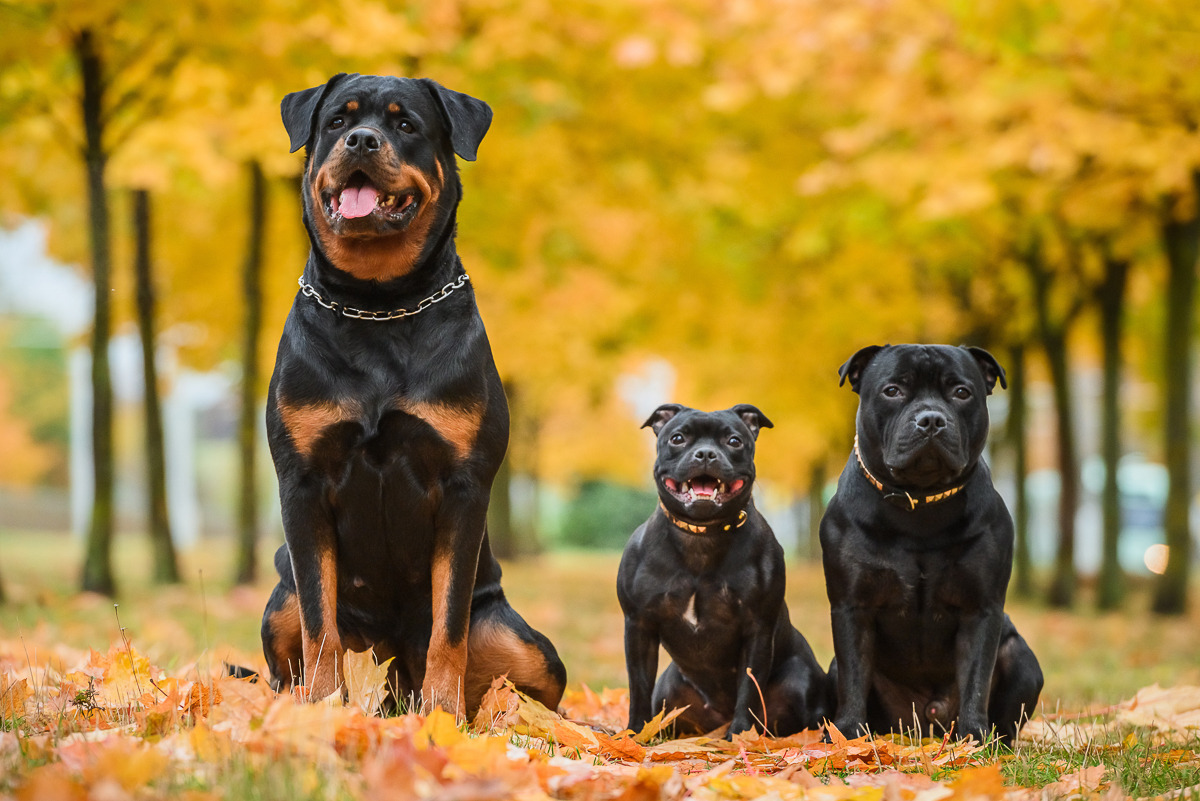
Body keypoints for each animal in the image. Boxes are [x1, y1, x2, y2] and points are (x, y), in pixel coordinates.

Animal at [259, 73, 566, 714]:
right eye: (337, 121)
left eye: (406, 125)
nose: (361, 139)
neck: (380, 303)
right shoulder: (301, 481)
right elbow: (319, 624)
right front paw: (321, 711)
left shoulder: (464, 485)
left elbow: (448, 628)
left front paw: (442, 717)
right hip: (279, 596)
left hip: (524, 643)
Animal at [614, 407, 830, 738]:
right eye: (677, 438)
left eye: (734, 441)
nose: (705, 453)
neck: (701, 536)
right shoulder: (639, 626)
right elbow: (638, 686)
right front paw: (635, 734)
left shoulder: (757, 629)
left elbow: (749, 688)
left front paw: (739, 735)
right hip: (668, 689)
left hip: (799, 681)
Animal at [820, 345, 1046, 743]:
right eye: (892, 390)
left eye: (961, 392)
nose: (931, 420)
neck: (920, 505)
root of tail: (926, 725)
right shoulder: (852, 607)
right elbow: (853, 677)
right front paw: (847, 735)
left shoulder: (980, 609)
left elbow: (975, 679)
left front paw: (974, 738)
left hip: (1021, 657)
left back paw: (995, 740)